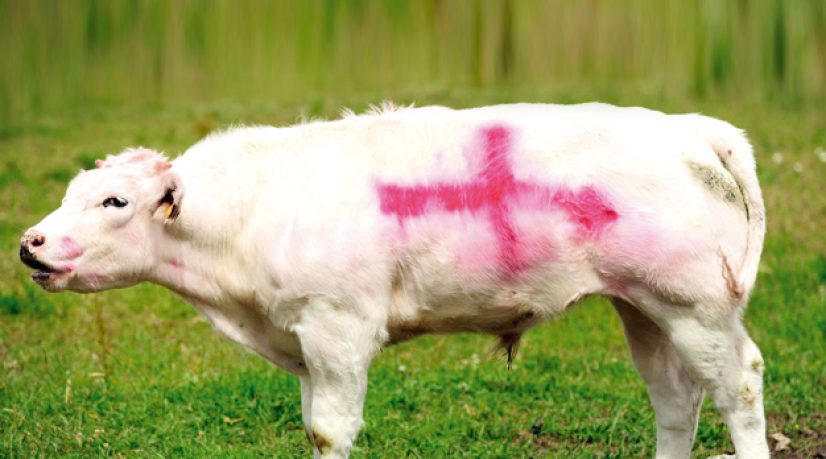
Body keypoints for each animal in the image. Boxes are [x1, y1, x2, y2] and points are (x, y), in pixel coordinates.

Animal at [19, 103, 767, 458]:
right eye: (71, 191)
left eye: (114, 201)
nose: (30, 244)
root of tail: (690, 128)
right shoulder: (304, 341)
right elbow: (312, 427)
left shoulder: (338, 328)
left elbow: (331, 431)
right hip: (644, 306)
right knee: (675, 401)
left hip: (697, 304)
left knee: (740, 385)